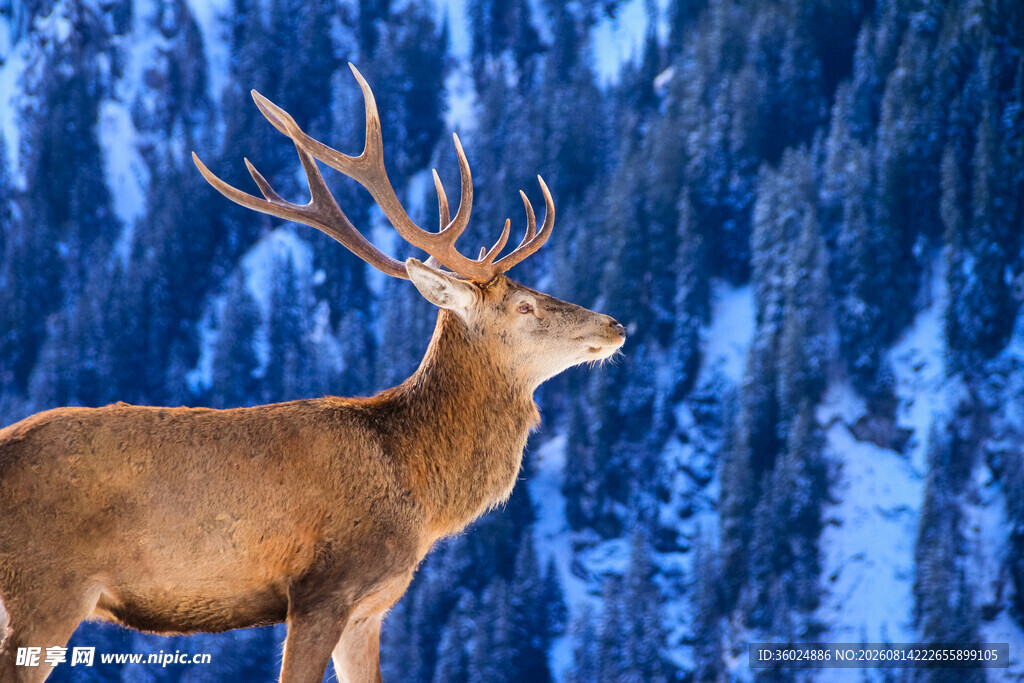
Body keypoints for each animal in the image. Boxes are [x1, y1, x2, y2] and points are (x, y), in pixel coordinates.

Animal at [0, 64, 626, 683]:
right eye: (525, 306)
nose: (616, 323)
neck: (416, 485)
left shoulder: (370, 609)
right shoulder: (324, 588)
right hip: (46, 586)